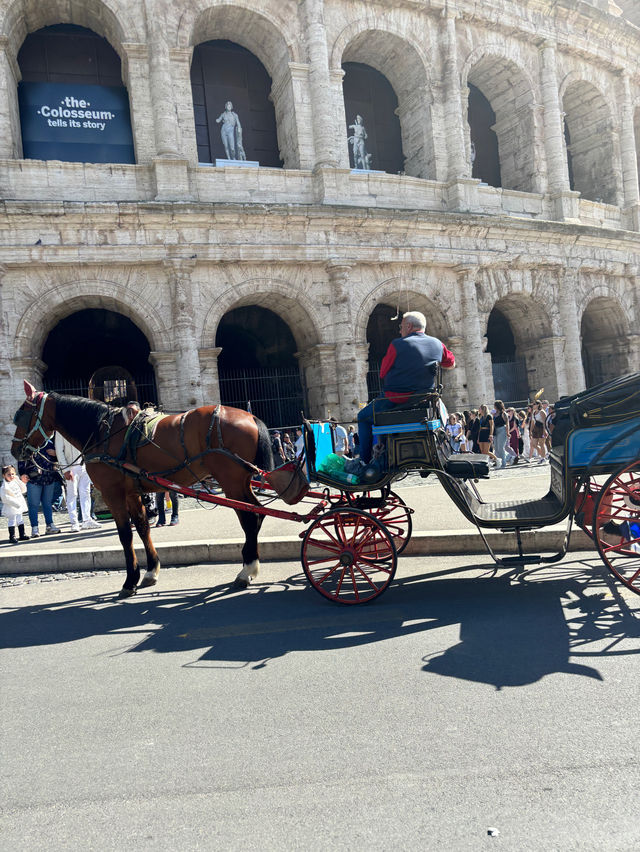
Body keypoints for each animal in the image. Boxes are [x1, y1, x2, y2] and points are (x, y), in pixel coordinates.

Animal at [11, 380, 308, 600]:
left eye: (21, 415)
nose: (15, 451)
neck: (103, 432)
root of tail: (250, 417)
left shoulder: (112, 492)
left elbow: (124, 535)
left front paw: (129, 580)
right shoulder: (132, 491)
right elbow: (143, 527)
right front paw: (151, 571)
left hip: (231, 480)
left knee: (249, 517)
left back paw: (247, 569)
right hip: (241, 480)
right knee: (257, 514)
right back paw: (249, 562)